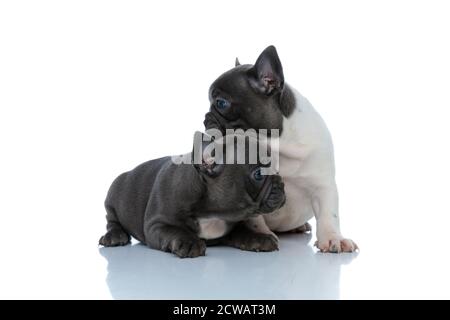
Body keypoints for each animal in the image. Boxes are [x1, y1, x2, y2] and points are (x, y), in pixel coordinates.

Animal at [98, 131, 284, 258]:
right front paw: (189, 242)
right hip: (112, 200)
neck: (213, 213)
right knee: (112, 221)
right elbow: (175, 231)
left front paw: (260, 238)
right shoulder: (157, 225)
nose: (281, 183)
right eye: (258, 174)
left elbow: (244, 232)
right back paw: (114, 236)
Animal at [205, 46, 358, 254]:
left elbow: (329, 213)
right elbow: (254, 217)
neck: (277, 146)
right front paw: (260, 235)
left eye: (221, 103)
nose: (206, 117)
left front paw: (333, 238)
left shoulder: (323, 184)